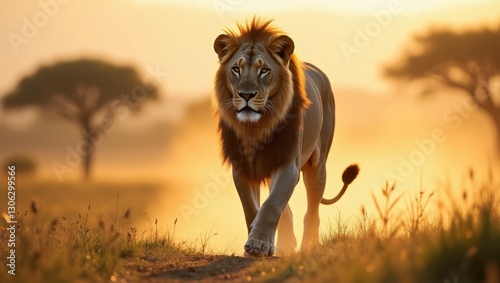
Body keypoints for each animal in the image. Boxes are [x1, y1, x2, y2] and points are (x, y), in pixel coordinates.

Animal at [211, 17, 360, 258]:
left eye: (264, 70)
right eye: (236, 69)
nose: (246, 95)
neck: (256, 128)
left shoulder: (288, 162)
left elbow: (272, 204)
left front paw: (259, 243)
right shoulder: (242, 167)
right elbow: (253, 208)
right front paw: (254, 245)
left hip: (317, 167)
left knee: (312, 211)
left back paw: (309, 245)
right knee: (287, 211)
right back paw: (286, 245)